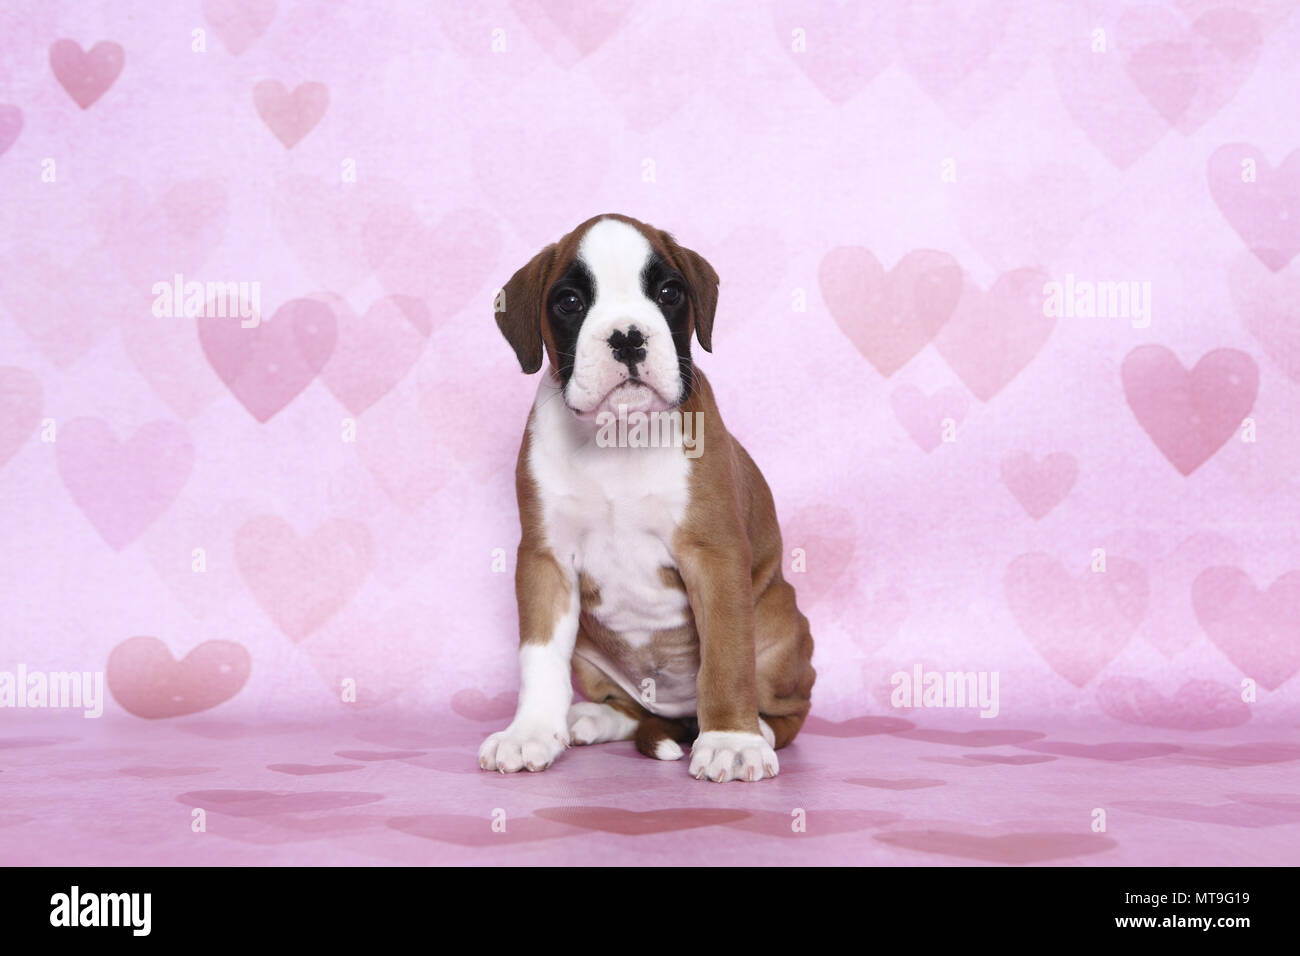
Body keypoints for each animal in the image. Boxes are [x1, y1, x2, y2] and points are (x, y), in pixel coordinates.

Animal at [483, 213, 816, 780]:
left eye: (668, 292)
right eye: (569, 301)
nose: (627, 337)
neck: (621, 436)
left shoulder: (715, 556)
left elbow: (727, 656)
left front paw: (731, 739)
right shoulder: (545, 561)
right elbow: (539, 655)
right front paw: (530, 732)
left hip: (780, 624)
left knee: (790, 712)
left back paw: (757, 729)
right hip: (590, 653)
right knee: (632, 710)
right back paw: (592, 718)